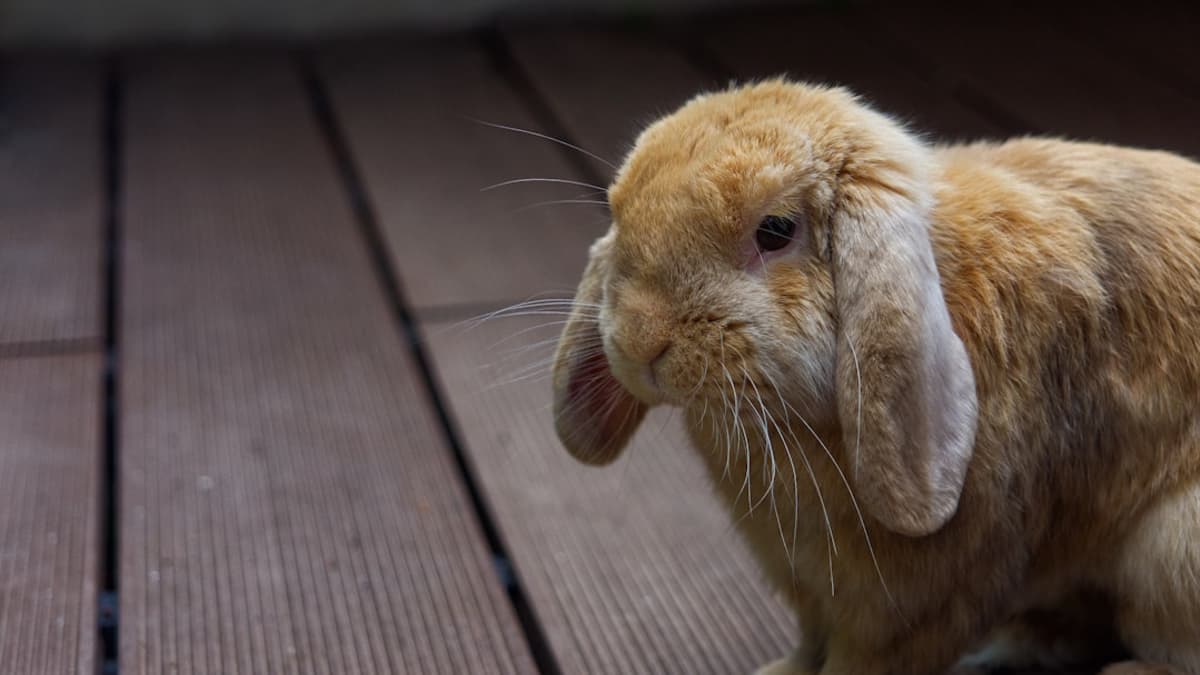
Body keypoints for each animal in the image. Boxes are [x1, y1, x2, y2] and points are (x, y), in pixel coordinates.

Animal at [550, 78, 1200, 675]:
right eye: (619, 210)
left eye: (776, 230)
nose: (638, 342)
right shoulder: (808, 588)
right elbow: (808, 645)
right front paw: (778, 673)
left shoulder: (909, 608)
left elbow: (860, 659)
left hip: (1170, 552)